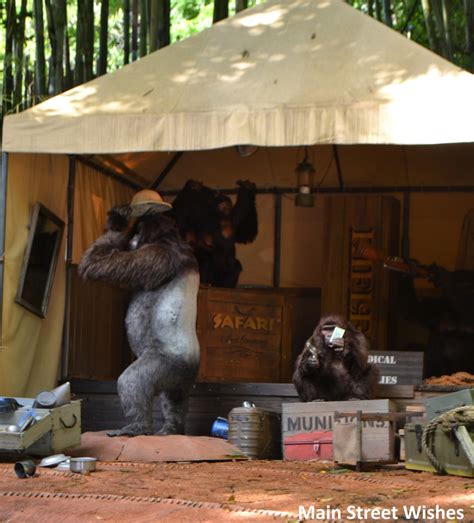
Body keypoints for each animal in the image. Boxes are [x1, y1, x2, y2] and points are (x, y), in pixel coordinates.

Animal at [78, 190, 200, 436]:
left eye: (137, 232)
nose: (132, 238)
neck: (169, 240)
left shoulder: (153, 256)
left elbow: (97, 265)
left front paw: (117, 222)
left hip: (167, 364)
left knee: (133, 381)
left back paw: (137, 426)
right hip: (182, 381)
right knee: (174, 399)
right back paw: (172, 427)